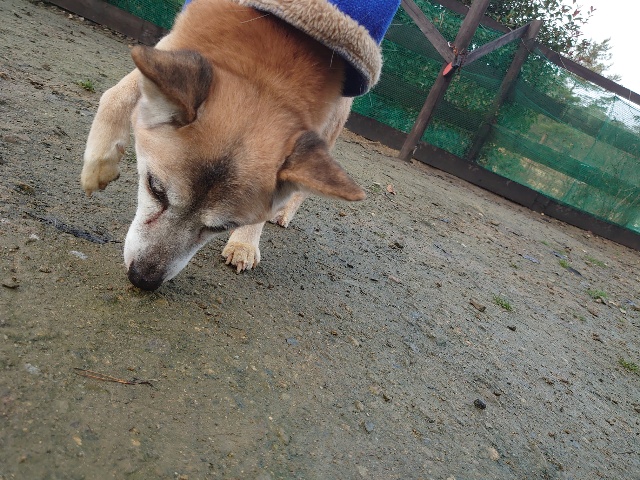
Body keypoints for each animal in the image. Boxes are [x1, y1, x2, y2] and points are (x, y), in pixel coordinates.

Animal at [81, 0, 400, 290]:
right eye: (155, 189)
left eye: (221, 227)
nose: (143, 280)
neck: (264, 70)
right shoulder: (173, 46)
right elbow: (115, 95)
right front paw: (99, 164)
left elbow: (274, 199)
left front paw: (245, 243)